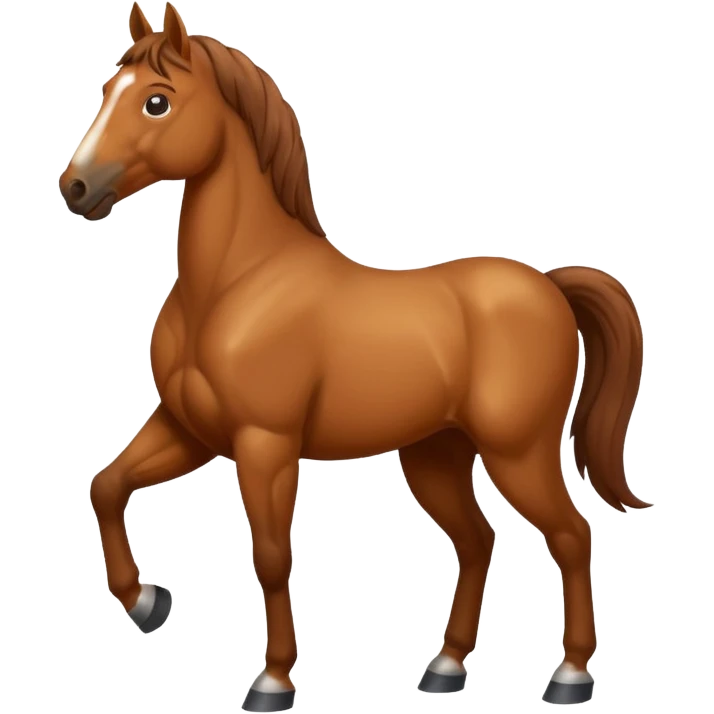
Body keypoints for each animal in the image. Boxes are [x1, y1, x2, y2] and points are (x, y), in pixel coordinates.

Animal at [59, 2, 650, 710]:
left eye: (156, 101)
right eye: (105, 92)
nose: (76, 187)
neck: (238, 283)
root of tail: (550, 286)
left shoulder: (264, 443)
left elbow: (272, 557)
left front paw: (272, 680)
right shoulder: (188, 430)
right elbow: (106, 485)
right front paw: (148, 603)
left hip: (518, 453)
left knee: (571, 536)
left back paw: (570, 676)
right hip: (436, 456)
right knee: (478, 541)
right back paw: (446, 667)